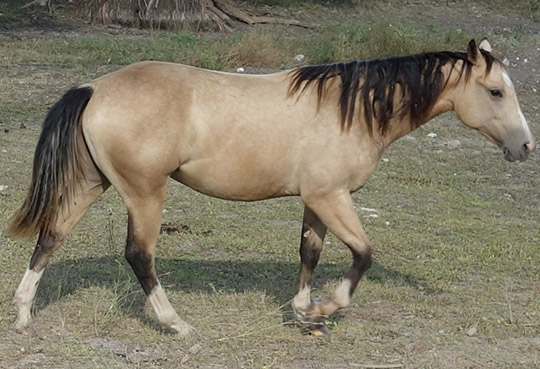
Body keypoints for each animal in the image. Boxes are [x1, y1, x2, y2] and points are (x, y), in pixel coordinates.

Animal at [8, 39, 536, 334]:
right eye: (495, 91)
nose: (526, 146)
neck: (349, 108)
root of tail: (94, 87)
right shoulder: (331, 197)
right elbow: (363, 254)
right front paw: (325, 309)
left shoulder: (316, 200)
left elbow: (310, 252)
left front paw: (302, 312)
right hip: (145, 193)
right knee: (139, 256)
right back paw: (176, 323)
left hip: (90, 184)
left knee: (50, 237)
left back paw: (23, 314)